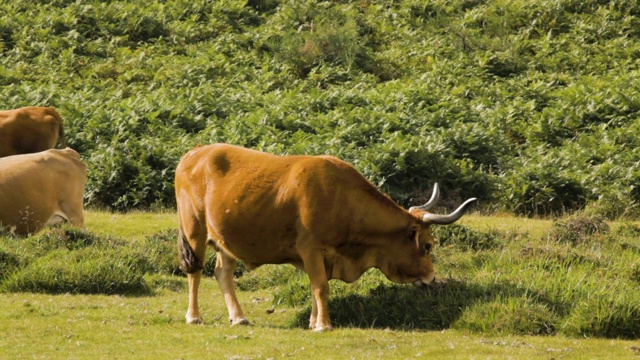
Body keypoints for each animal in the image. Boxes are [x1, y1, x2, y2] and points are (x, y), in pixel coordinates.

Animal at [175, 143, 476, 332]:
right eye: (427, 245)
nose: (431, 278)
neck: (341, 196)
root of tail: (194, 153)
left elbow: (314, 286)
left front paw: (313, 321)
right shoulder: (310, 248)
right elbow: (320, 286)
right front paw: (324, 324)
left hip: (225, 240)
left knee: (223, 273)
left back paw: (238, 317)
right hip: (194, 231)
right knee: (195, 272)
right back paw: (194, 316)